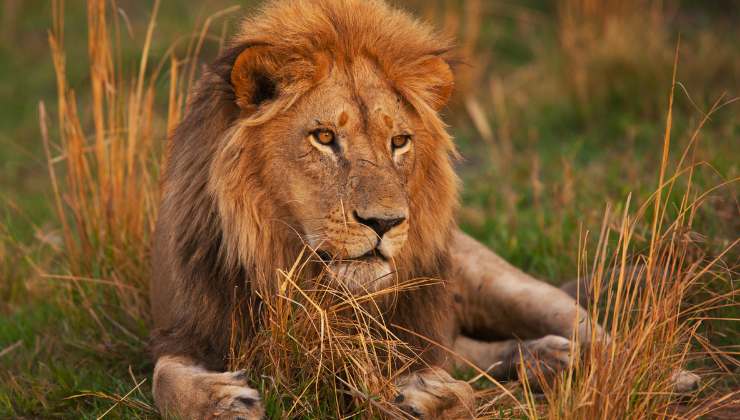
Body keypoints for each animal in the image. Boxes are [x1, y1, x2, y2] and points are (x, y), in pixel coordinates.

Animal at [149, 0, 698, 418]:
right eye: (324, 137)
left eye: (399, 142)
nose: (386, 223)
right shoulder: (190, 329)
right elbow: (163, 377)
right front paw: (222, 401)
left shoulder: (413, 336)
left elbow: (453, 389)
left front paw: (428, 397)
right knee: (475, 352)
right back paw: (547, 359)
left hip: (502, 283)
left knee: (592, 331)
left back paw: (658, 373)